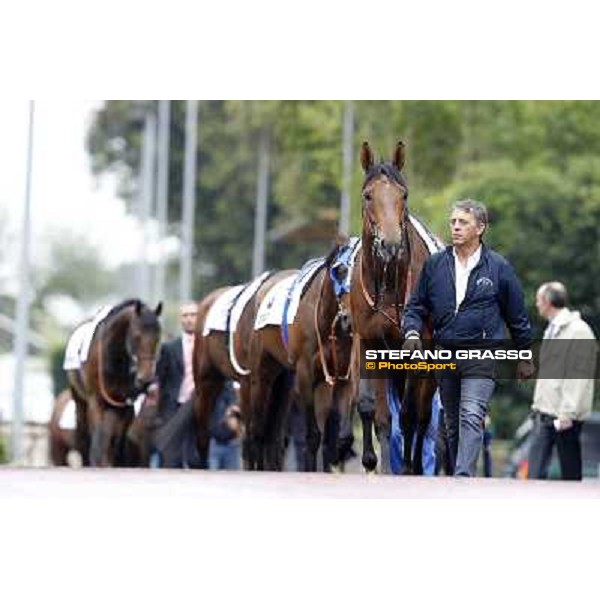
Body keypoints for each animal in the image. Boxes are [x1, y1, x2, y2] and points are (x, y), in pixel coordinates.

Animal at [65, 300, 162, 468]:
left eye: (157, 337)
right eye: (137, 336)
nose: (146, 379)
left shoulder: (125, 403)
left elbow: (117, 437)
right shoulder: (96, 400)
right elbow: (100, 435)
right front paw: (98, 460)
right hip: (80, 400)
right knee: (85, 432)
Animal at [350, 141, 438, 474]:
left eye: (404, 195)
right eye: (367, 195)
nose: (390, 245)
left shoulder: (416, 347)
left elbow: (410, 414)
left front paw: (407, 466)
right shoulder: (368, 341)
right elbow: (374, 410)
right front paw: (376, 462)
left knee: (422, 415)